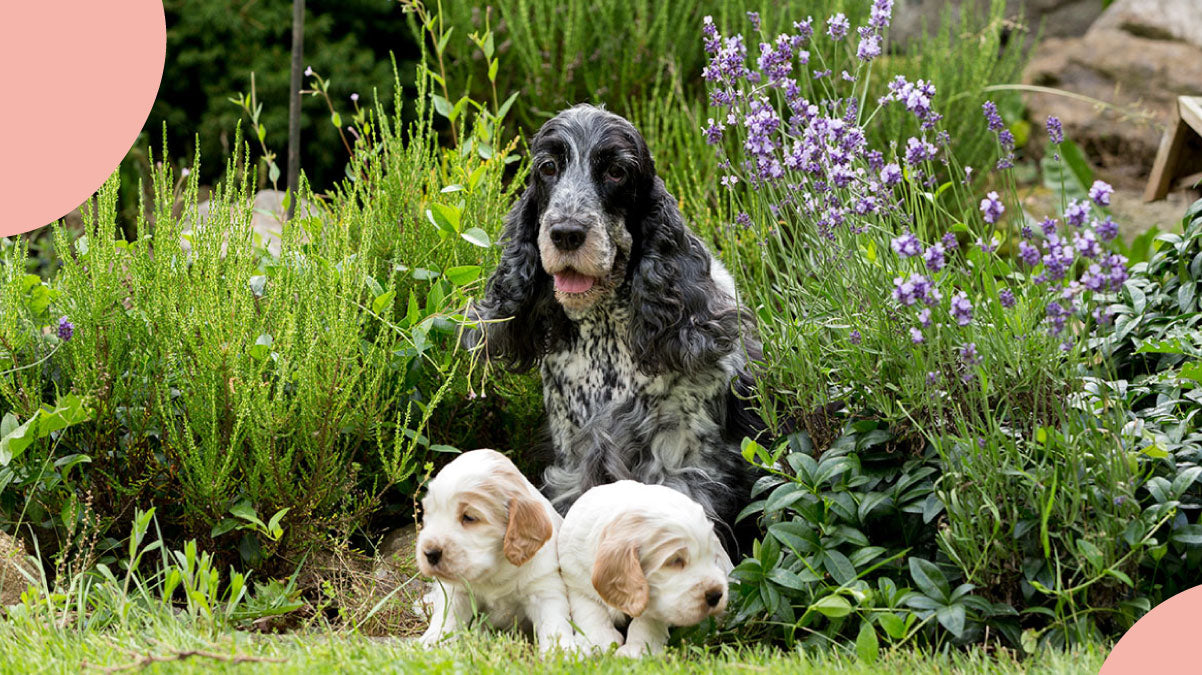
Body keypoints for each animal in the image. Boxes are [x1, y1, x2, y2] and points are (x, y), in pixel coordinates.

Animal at [415, 449, 574, 648]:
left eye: (469, 517)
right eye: (429, 513)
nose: (430, 553)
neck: (495, 571)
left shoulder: (544, 590)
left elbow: (555, 624)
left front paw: (563, 650)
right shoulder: (457, 591)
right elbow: (447, 617)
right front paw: (431, 642)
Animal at [463, 102, 764, 550]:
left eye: (617, 172)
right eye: (548, 167)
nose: (566, 233)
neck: (605, 339)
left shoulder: (680, 462)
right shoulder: (573, 457)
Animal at [555, 478, 730, 658]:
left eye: (714, 558)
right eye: (675, 560)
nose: (716, 594)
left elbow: (647, 620)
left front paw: (637, 649)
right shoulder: (576, 579)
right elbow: (590, 609)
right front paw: (597, 642)